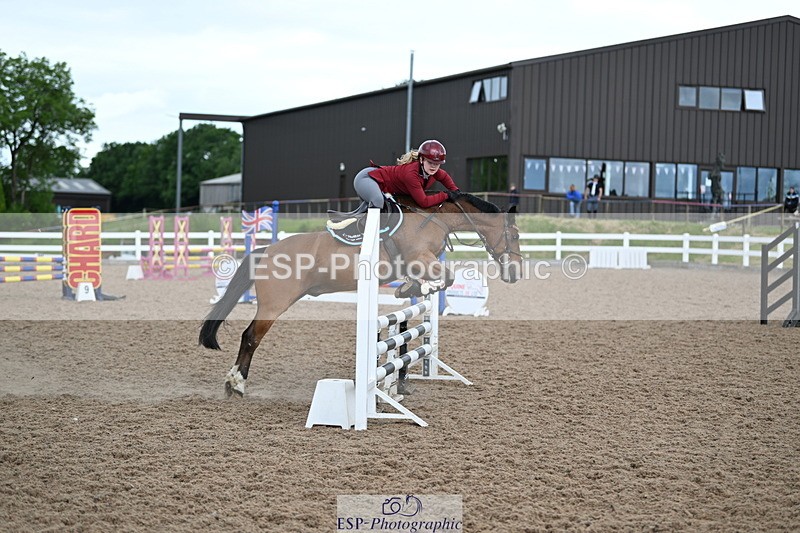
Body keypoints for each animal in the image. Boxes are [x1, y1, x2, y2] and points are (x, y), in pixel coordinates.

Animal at [199, 192, 523, 397]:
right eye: (516, 235)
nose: (515, 273)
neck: (433, 219)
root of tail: (267, 250)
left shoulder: (420, 262)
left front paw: (410, 288)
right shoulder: (420, 258)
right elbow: (447, 277)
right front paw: (421, 288)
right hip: (274, 304)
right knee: (250, 336)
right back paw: (236, 384)